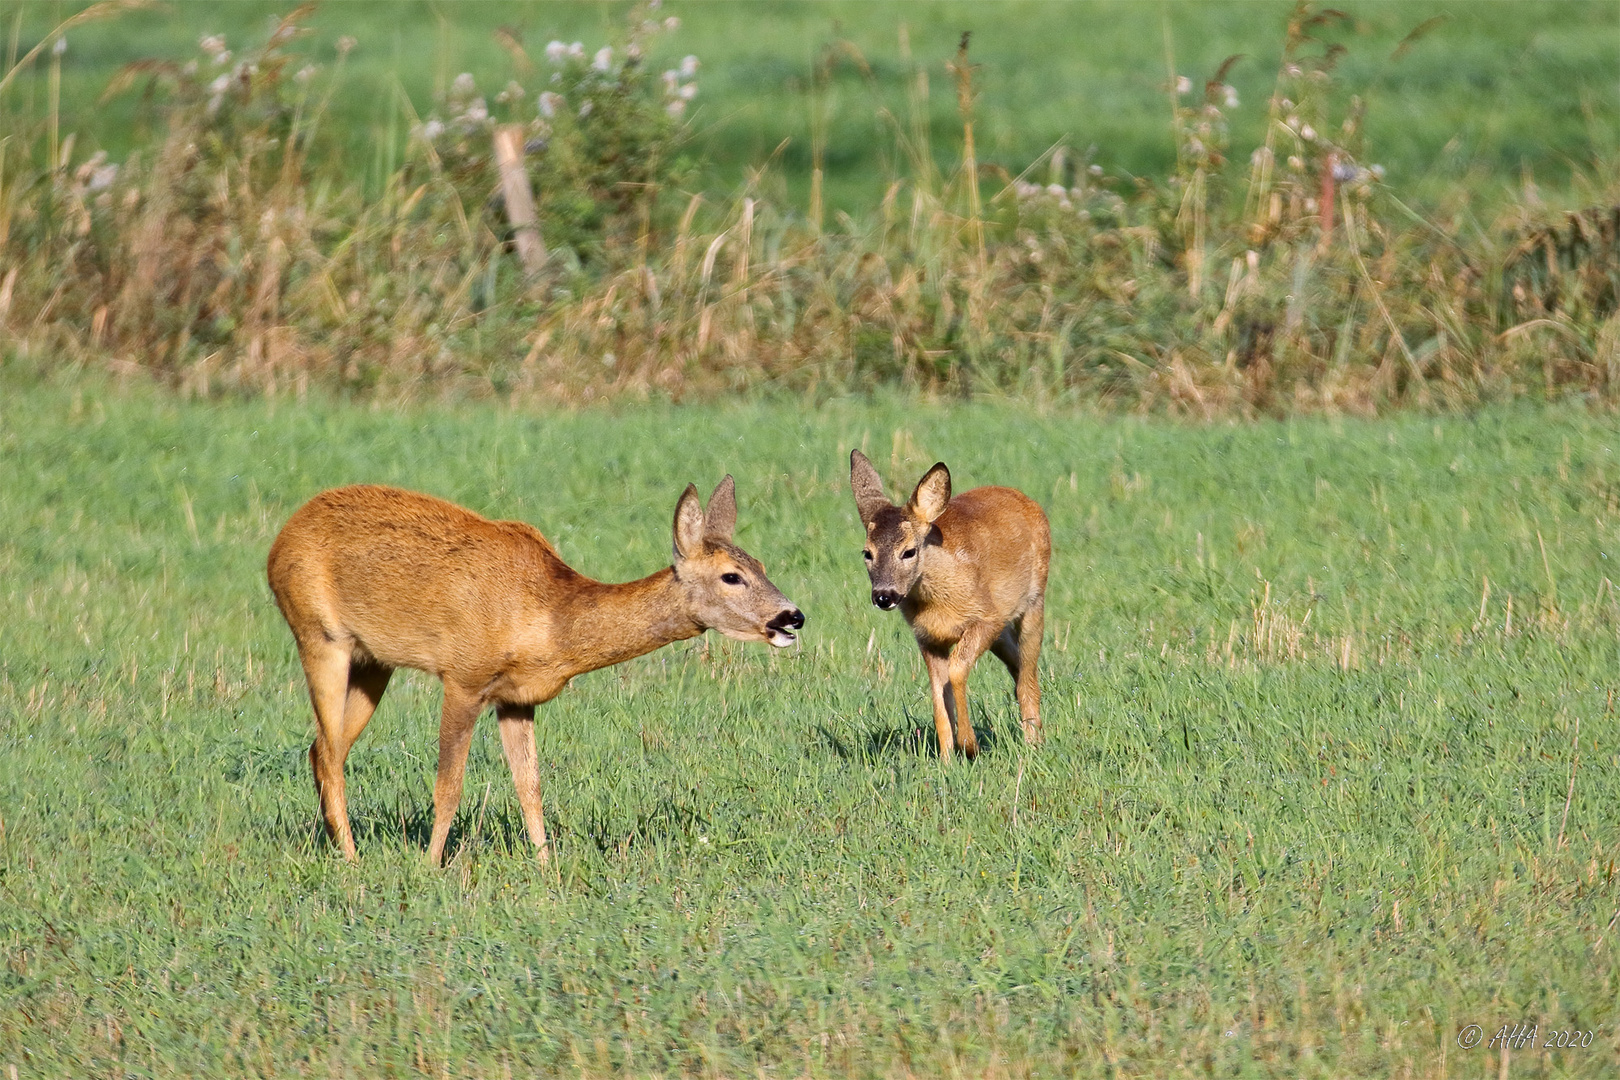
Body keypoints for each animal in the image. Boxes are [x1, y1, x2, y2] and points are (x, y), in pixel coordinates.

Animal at [268, 479, 806, 861]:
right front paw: (430, 868)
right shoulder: (463, 676)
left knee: (322, 749)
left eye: (760, 564)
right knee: (330, 752)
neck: (551, 621)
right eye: (731, 576)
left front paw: (549, 872)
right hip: (319, 635)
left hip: (372, 661)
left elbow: (531, 788)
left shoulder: (518, 697)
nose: (792, 617)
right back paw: (352, 861)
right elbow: (448, 787)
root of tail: (278, 543)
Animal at [848, 453, 1049, 764]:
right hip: (1003, 632)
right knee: (1017, 667)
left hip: (1033, 602)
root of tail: (1027, 500)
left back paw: (1033, 744)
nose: (884, 595)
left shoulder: (988, 617)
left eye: (909, 551)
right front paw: (946, 760)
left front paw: (969, 745)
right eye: (867, 553)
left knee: (1028, 675)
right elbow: (939, 696)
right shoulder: (927, 637)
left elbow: (956, 671)